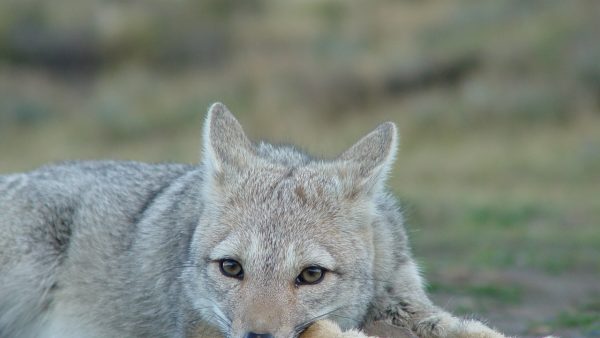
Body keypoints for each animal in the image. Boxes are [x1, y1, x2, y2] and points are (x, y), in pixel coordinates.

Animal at [0, 103, 506, 338]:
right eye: (231, 268)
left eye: (311, 275)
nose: (256, 336)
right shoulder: (203, 329)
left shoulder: (407, 304)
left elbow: (476, 330)